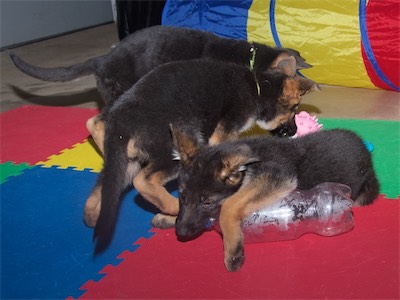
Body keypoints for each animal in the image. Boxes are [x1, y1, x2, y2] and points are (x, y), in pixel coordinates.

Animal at [7, 25, 310, 145]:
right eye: (291, 108)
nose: (294, 131)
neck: (249, 61)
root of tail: (104, 58)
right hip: (124, 95)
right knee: (98, 123)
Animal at [86, 57, 318, 252]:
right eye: (294, 108)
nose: (295, 131)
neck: (257, 87)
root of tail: (120, 123)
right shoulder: (225, 132)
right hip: (174, 153)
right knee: (143, 181)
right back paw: (173, 206)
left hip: (124, 162)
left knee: (105, 185)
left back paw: (92, 214)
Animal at [173, 129, 380, 272]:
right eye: (182, 196)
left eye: (207, 202)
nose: (180, 233)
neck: (247, 169)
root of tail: (368, 156)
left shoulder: (278, 177)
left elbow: (229, 205)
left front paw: (232, 250)